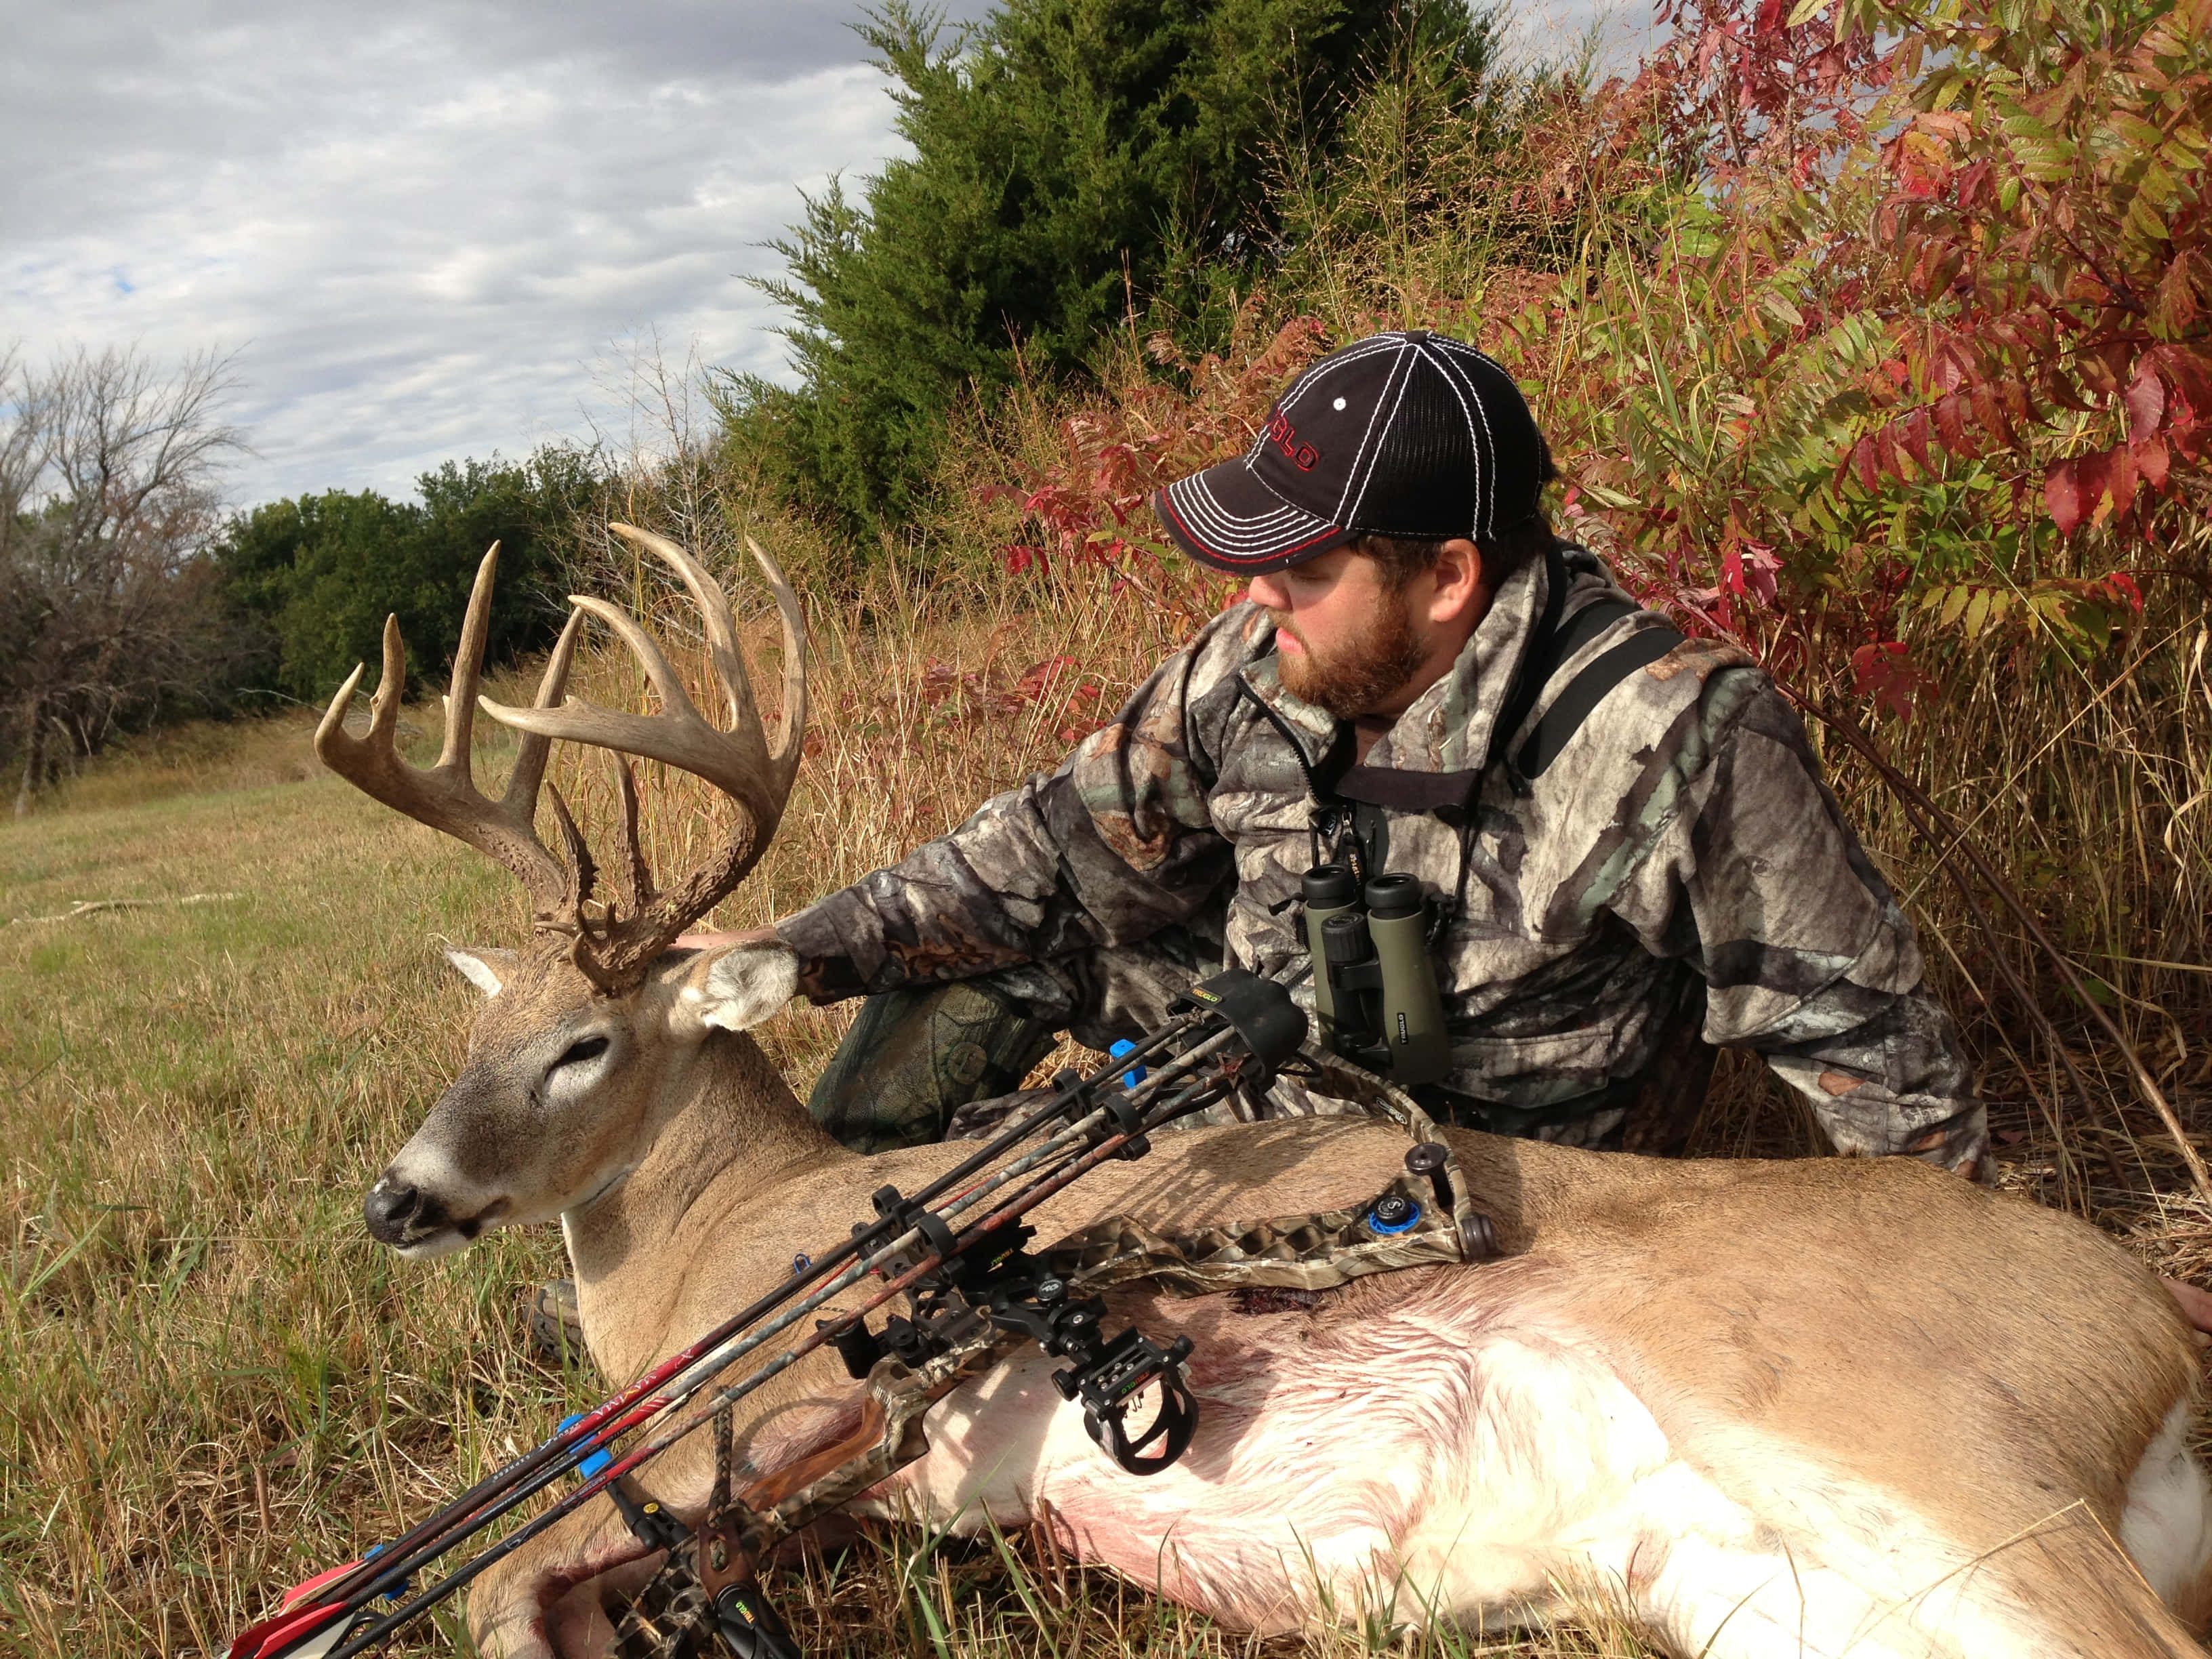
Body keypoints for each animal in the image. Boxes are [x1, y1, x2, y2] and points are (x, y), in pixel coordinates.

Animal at [312, 522, 2212, 1659]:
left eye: (581, 1043)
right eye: (478, 1030)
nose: (398, 1199)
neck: (705, 1251)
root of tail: (2163, 1332)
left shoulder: (780, 1408)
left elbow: (498, 1583)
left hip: (1899, 1424)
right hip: (1769, 1585)